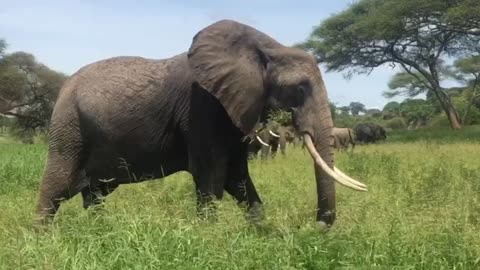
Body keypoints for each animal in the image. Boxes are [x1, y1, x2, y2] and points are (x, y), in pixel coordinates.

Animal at [36, 19, 368, 228]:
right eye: (299, 89)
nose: (316, 229)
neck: (267, 48)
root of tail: (62, 88)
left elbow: (238, 179)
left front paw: (262, 234)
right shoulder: (203, 108)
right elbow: (212, 180)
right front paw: (209, 239)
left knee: (93, 195)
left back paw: (102, 234)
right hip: (69, 129)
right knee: (55, 189)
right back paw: (43, 240)